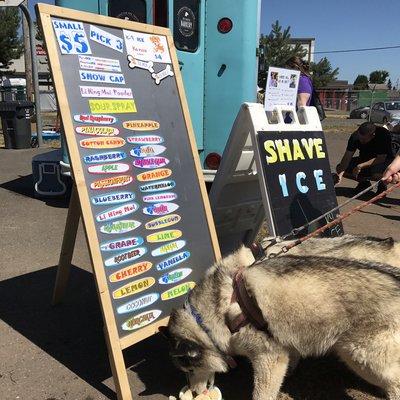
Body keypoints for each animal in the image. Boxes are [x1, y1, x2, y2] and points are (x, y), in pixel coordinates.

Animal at [163, 245, 400, 398]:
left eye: (189, 370)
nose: (194, 391)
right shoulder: (283, 347)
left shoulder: (268, 359)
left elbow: (261, 394)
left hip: (359, 356)